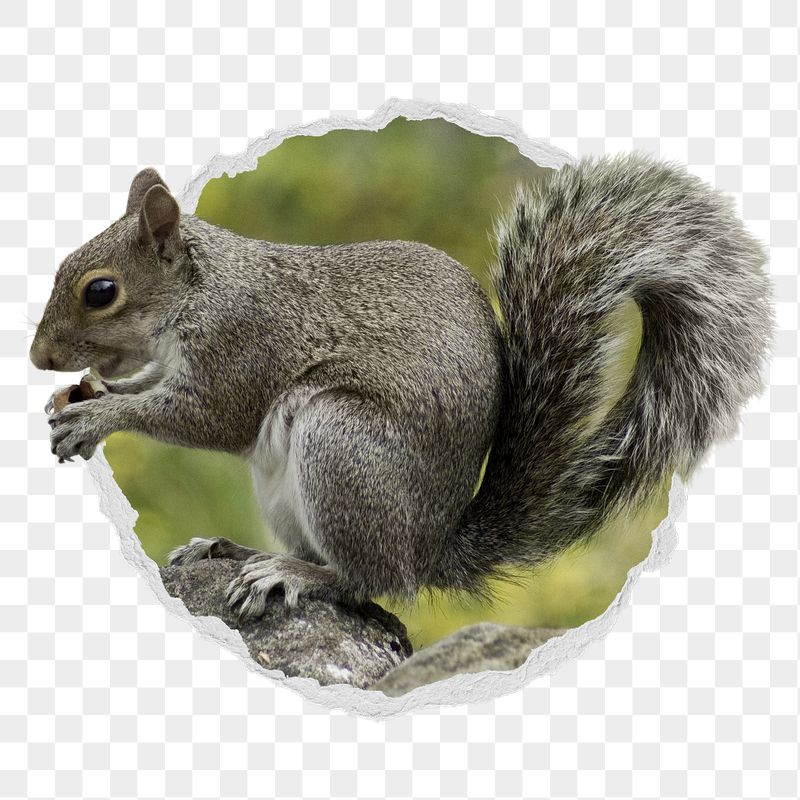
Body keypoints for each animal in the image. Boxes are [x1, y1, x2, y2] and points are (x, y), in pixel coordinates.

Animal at [30, 154, 773, 618]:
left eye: (101, 291)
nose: (38, 358)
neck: (202, 290)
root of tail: (428, 549)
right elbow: (155, 384)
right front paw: (88, 394)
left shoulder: (244, 346)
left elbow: (207, 417)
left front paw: (97, 417)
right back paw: (238, 550)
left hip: (342, 445)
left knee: (369, 582)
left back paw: (296, 574)